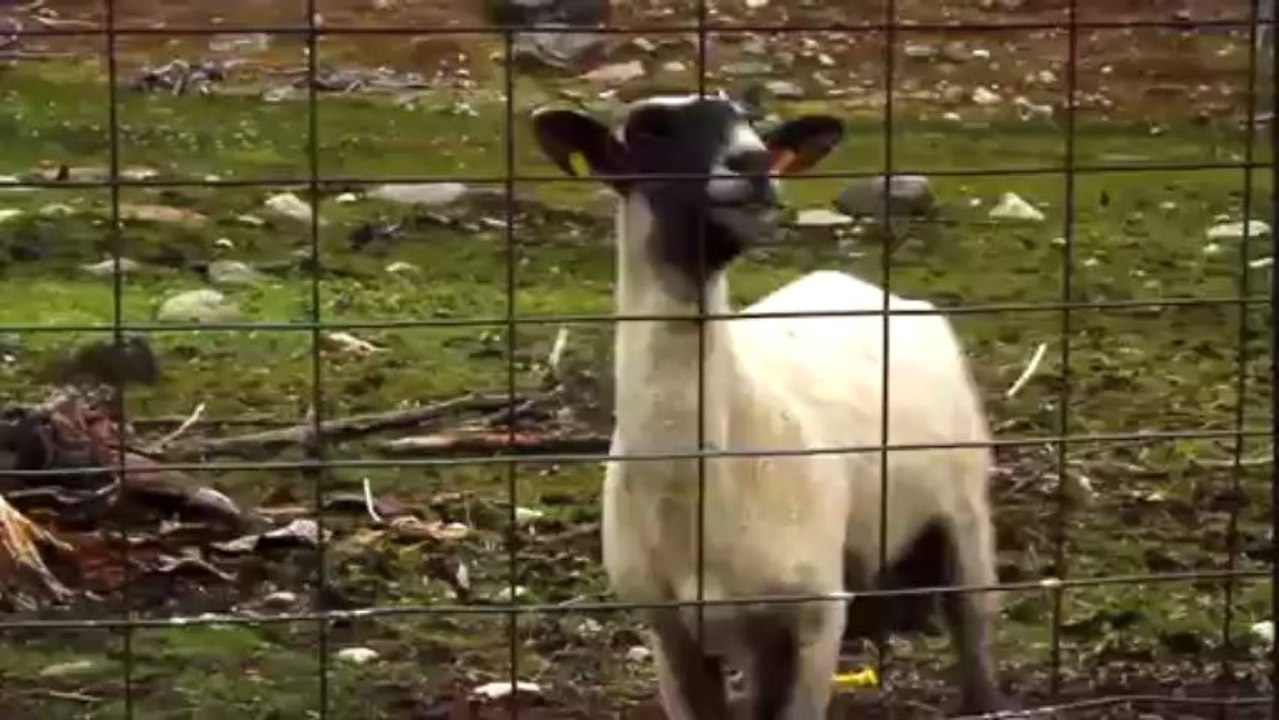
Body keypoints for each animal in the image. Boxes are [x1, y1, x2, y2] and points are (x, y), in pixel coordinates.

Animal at [530, 94, 1011, 719]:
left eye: (751, 122)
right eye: (648, 131)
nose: (754, 164)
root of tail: (858, 285)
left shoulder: (818, 613)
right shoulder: (668, 628)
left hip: (964, 518)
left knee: (974, 633)